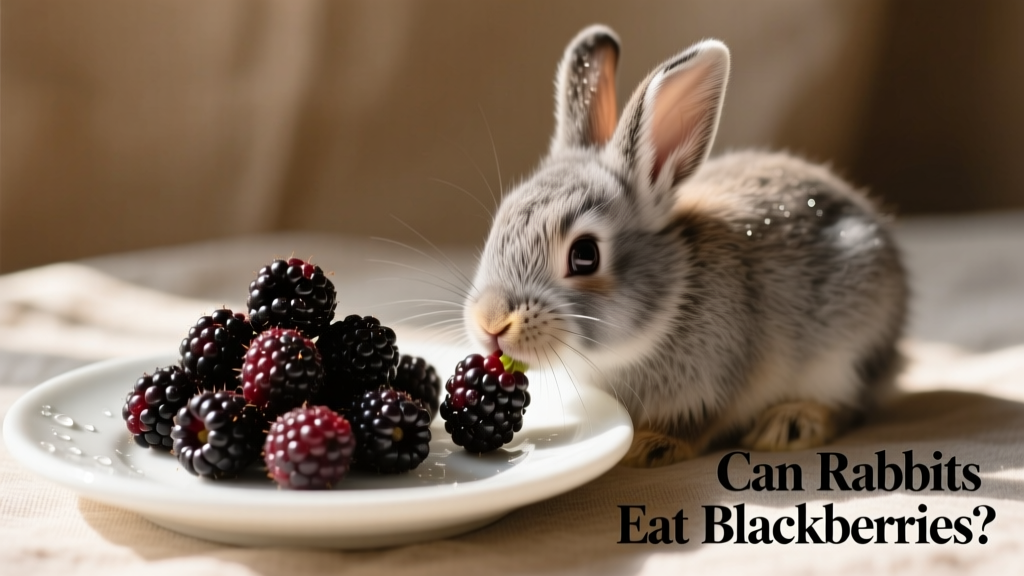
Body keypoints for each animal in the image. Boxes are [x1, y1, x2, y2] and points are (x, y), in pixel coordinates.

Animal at [463, 25, 907, 468]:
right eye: (499, 223)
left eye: (585, 255)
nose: (491, 321)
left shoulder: (717, 381)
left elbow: (698, 423)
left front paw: (647, 446)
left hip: (847, 350)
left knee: (850, 404)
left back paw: (792, 423)